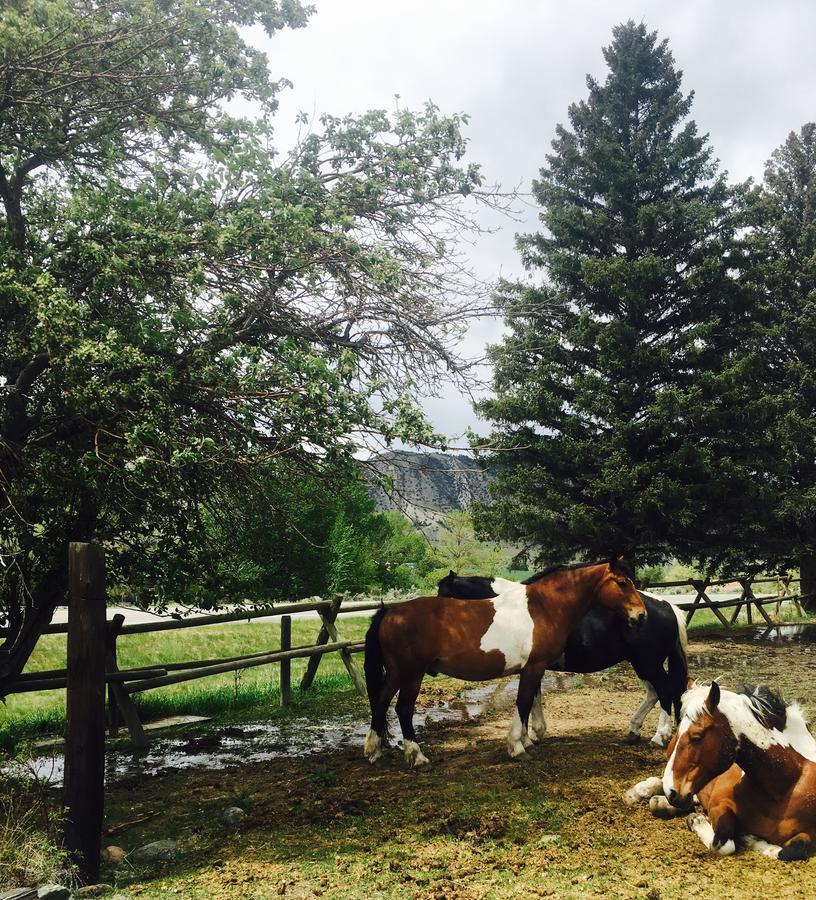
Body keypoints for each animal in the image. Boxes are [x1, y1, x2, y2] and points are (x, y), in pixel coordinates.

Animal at [364, 556, 644, 768]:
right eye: (622, 583)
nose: (641, 615)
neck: (544, 607)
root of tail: (390, 612)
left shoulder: (533, 669)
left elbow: (529, 702)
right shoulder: (534, 667)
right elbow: (523, 703)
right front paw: (517, 747)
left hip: (397, 674)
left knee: (380, 701)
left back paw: (373, 751)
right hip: (411, 674)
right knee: (402, 709)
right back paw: (417, 757)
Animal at [436, 568, 684, 744]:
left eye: (445, 596)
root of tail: (667, 606)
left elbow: (529, 699)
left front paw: (530, 736)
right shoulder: (533, 667)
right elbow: (533, 698)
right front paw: (535, 734)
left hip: (648, 663)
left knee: (665, 690)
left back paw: (660, 736)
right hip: (641, 664)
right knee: (654, 693)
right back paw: (633, 729)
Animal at [624, 684, 816, 856]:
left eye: (696, 737)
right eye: (678, 733)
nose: (671, 791)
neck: (783, 788)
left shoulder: (808, 835)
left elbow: (791, 851)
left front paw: (752, 839)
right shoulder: (719, 803)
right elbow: (723, 843)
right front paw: (698, 821)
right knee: (661, 782)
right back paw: (638, 793)